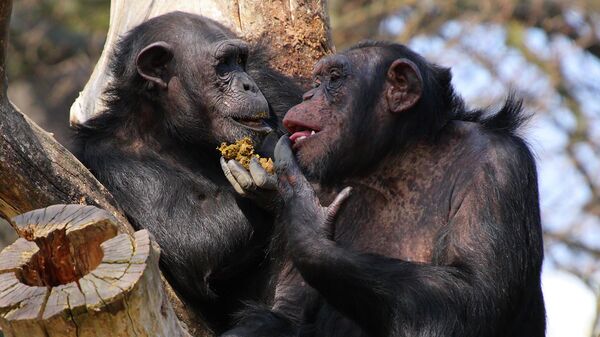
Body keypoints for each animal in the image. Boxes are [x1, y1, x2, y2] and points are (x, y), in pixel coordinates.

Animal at [72, 11, 302, 334]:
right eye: (223, 64)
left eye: (240, 60)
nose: (248, 85)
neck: (171, 130)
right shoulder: (108, 158)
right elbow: (193, 236)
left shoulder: (268, 81)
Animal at [223, 41, 548, 336]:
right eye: (316, 81)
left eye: (334, 79)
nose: (308, 94)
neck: (393, 161)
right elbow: (288, 310)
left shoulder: (497, 166)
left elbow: (476, 293)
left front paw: (306, 220)